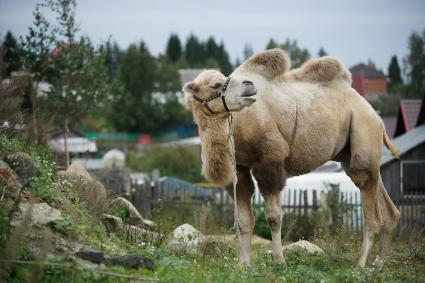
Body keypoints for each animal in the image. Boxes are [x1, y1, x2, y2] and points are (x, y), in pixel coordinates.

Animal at [182, 48, 400, 268]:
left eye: (222, 80)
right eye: (215, 85)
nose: (249, 86)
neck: (238, 123)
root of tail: (376, 116)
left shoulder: (270, 159)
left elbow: (274, 217)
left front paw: (279, 260)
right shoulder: (239, 168)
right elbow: (244, 220)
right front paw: (243, 264)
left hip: (363, 130)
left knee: (371, 209)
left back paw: (360, 265)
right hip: (352, 154)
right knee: (387, 206)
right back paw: (377, 265)